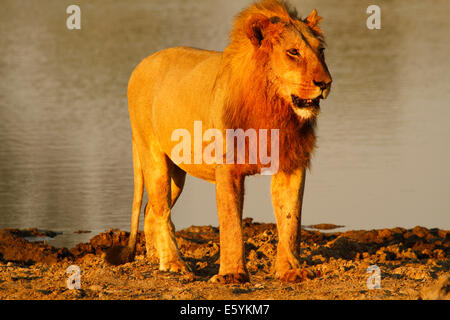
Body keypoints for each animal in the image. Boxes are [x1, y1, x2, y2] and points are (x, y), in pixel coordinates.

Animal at [105, 0, 330, 284]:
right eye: (293, 52)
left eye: (321, 51)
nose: (326, 83)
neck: (274, 106)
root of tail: (142, 63)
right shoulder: (228, 168)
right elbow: (231, 223)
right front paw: (232, 275)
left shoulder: (291, 163)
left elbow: (291, 220)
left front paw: (291, 270)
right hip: (152, 156)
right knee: (161, 209)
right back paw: (175, 264)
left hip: (176, 173)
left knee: (151, 210)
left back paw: (157, 259)